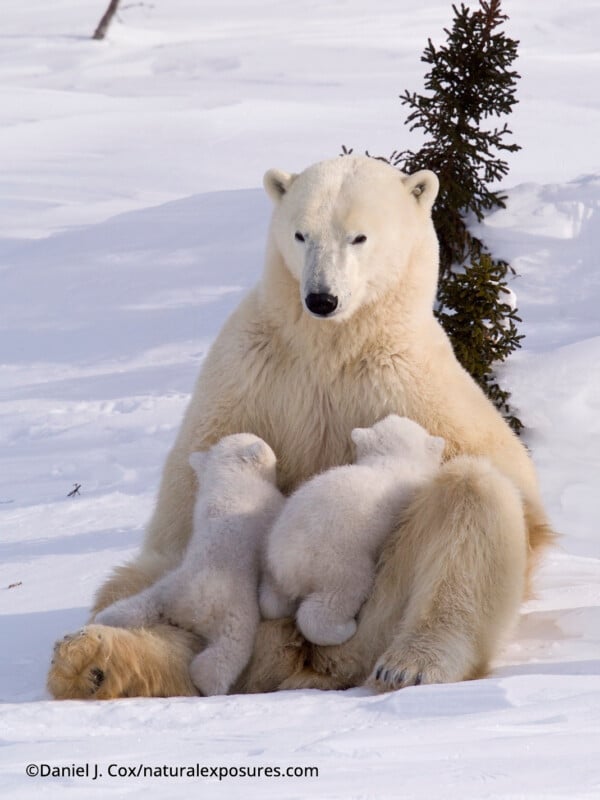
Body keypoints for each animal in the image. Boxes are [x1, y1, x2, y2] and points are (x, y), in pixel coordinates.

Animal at [94, 433, 284, 696]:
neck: (230, 475)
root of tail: (191, 611)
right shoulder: (268, 505)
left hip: (168, 588)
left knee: (138, 605)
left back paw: (108, 616)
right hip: (235, 610)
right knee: (227, 651)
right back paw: (207, 682)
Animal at [259, 414, 445, 647]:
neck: (393, 459)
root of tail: (287, 567)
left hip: (273, 560)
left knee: (271, 600)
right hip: (334, 561)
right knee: (342, 593)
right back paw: (342, 628)